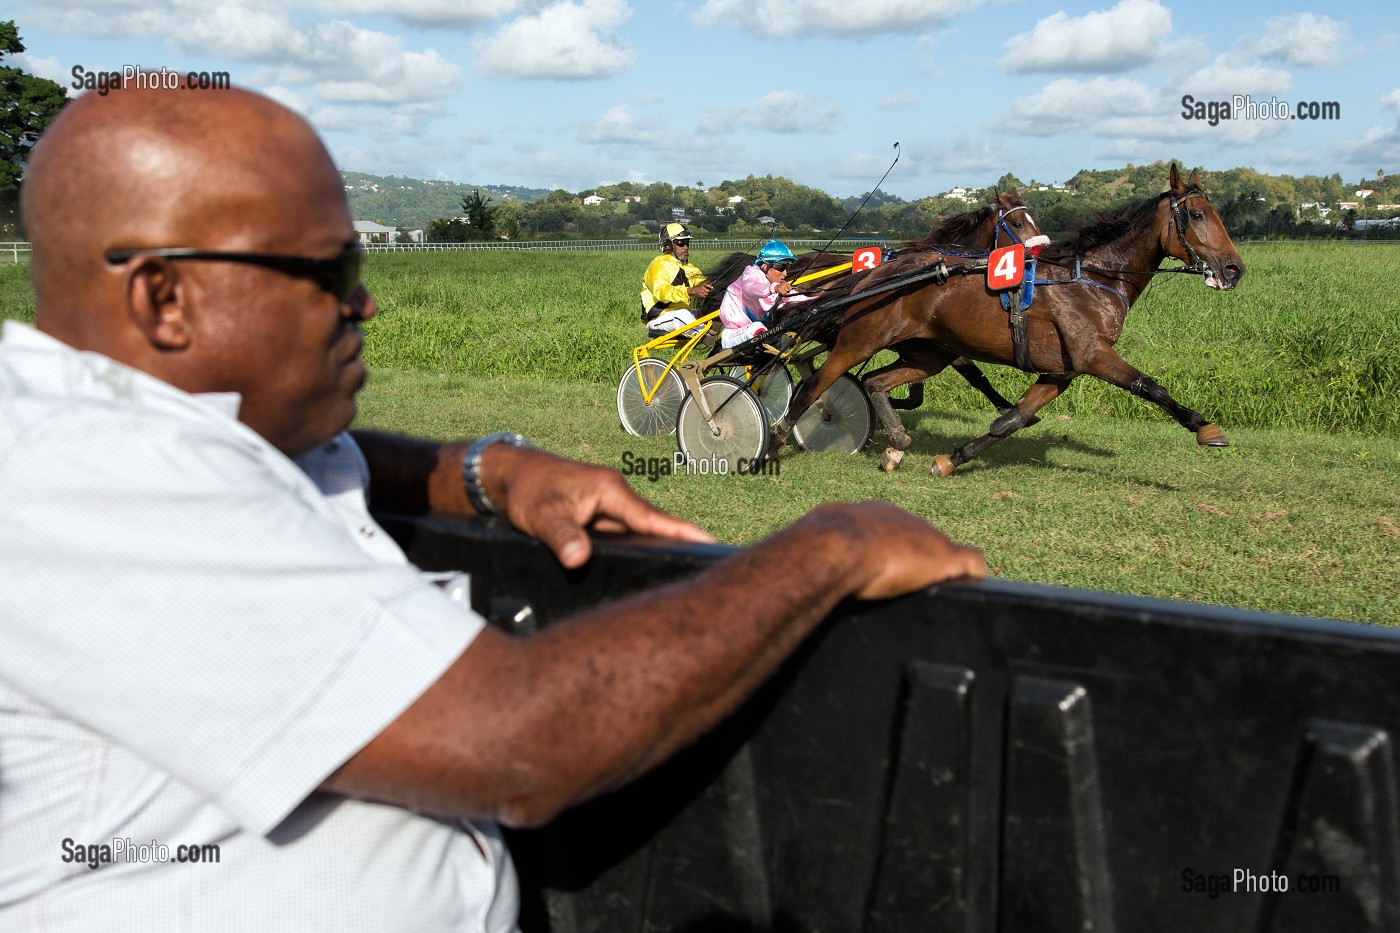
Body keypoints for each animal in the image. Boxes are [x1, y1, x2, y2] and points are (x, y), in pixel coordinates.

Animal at [778, 163, 1248, 473]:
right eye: (1198, 215)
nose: (1233, 269)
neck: (1092, 279)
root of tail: (876, 273)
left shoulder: (1061, 371)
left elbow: (1014, 418)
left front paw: (952, 459)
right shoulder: (1093, 354)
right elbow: (1150, 386)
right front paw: (1205, 427)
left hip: (929, 353)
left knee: (875, 382)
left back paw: (895, 444)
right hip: (859, 339)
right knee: (815, 383)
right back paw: (780, 437)